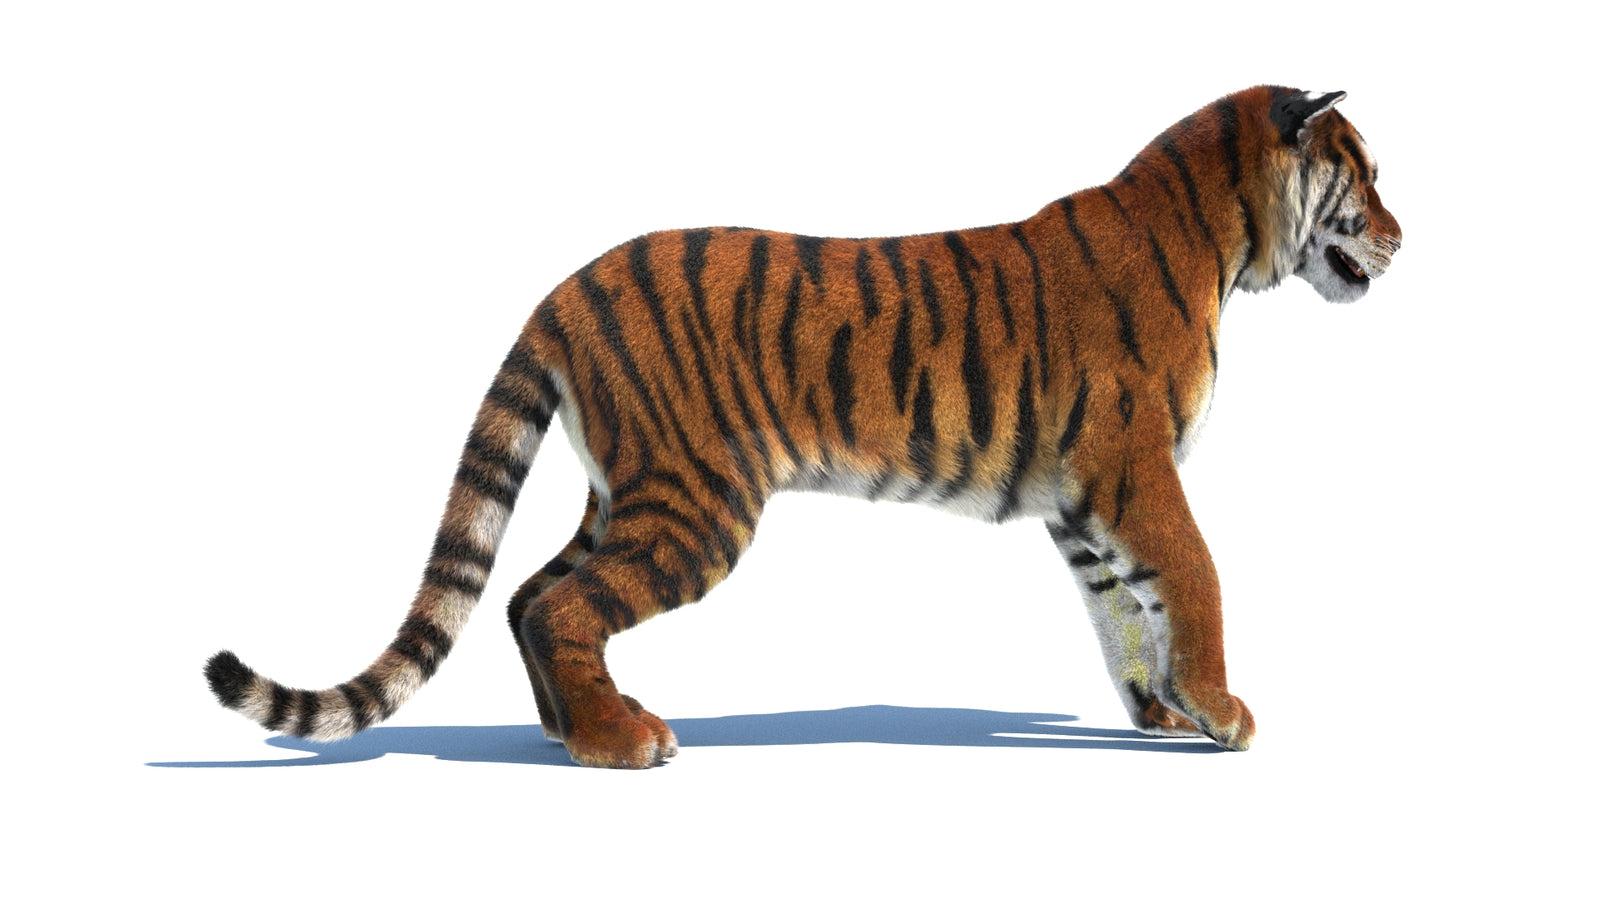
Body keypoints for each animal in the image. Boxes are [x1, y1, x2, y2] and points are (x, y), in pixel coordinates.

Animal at [206, 85, 1402, 768]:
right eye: (1369, 176)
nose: (1403, 235)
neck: (1226, 239)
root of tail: (567, 289)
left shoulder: (1083, 502)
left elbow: (1125, 611)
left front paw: (1164, 714)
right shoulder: (1135, 468)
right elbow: (1195, 577)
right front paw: (1224, 713)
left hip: (631, 491)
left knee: (525, 594)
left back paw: (570, 726)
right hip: (698, 505)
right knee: (558, 604)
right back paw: (618, 742)